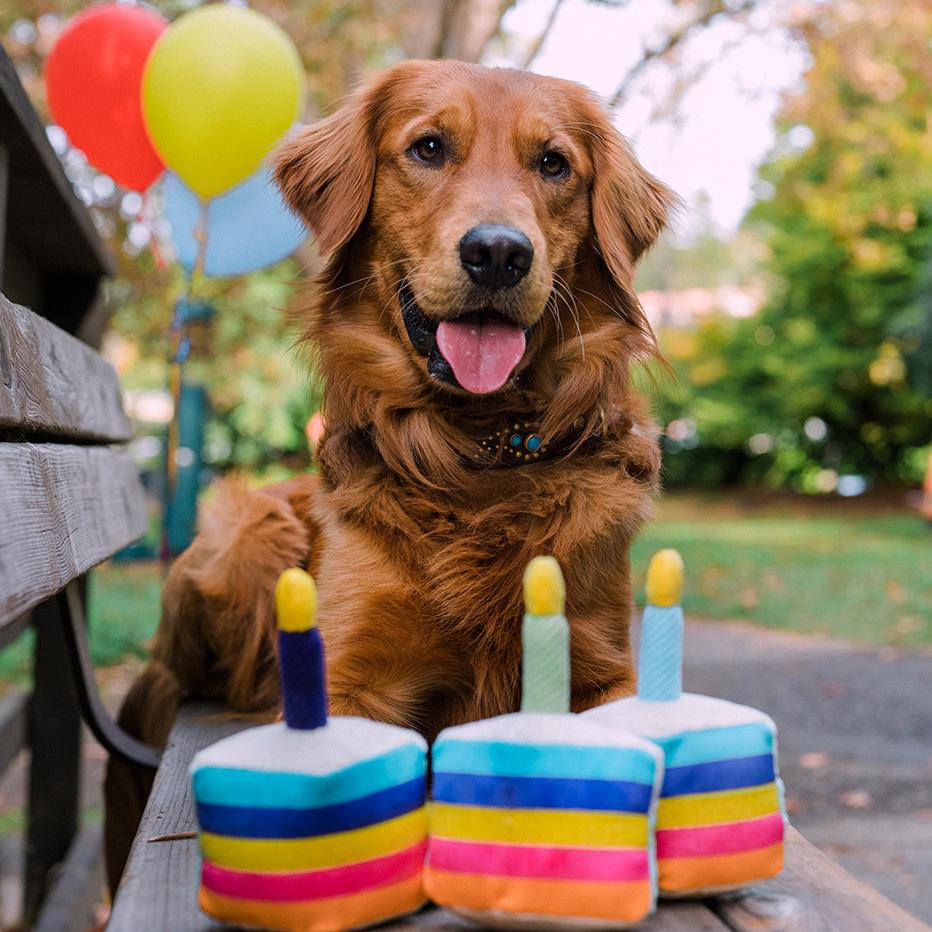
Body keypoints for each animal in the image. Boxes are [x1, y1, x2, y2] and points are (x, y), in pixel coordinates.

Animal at [104, 62, 668, 892]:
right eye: (428, 147)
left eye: (554, 164)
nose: (498, 253)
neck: (476, 455)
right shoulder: (349, 680)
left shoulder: (601, 667)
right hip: (246, 534)